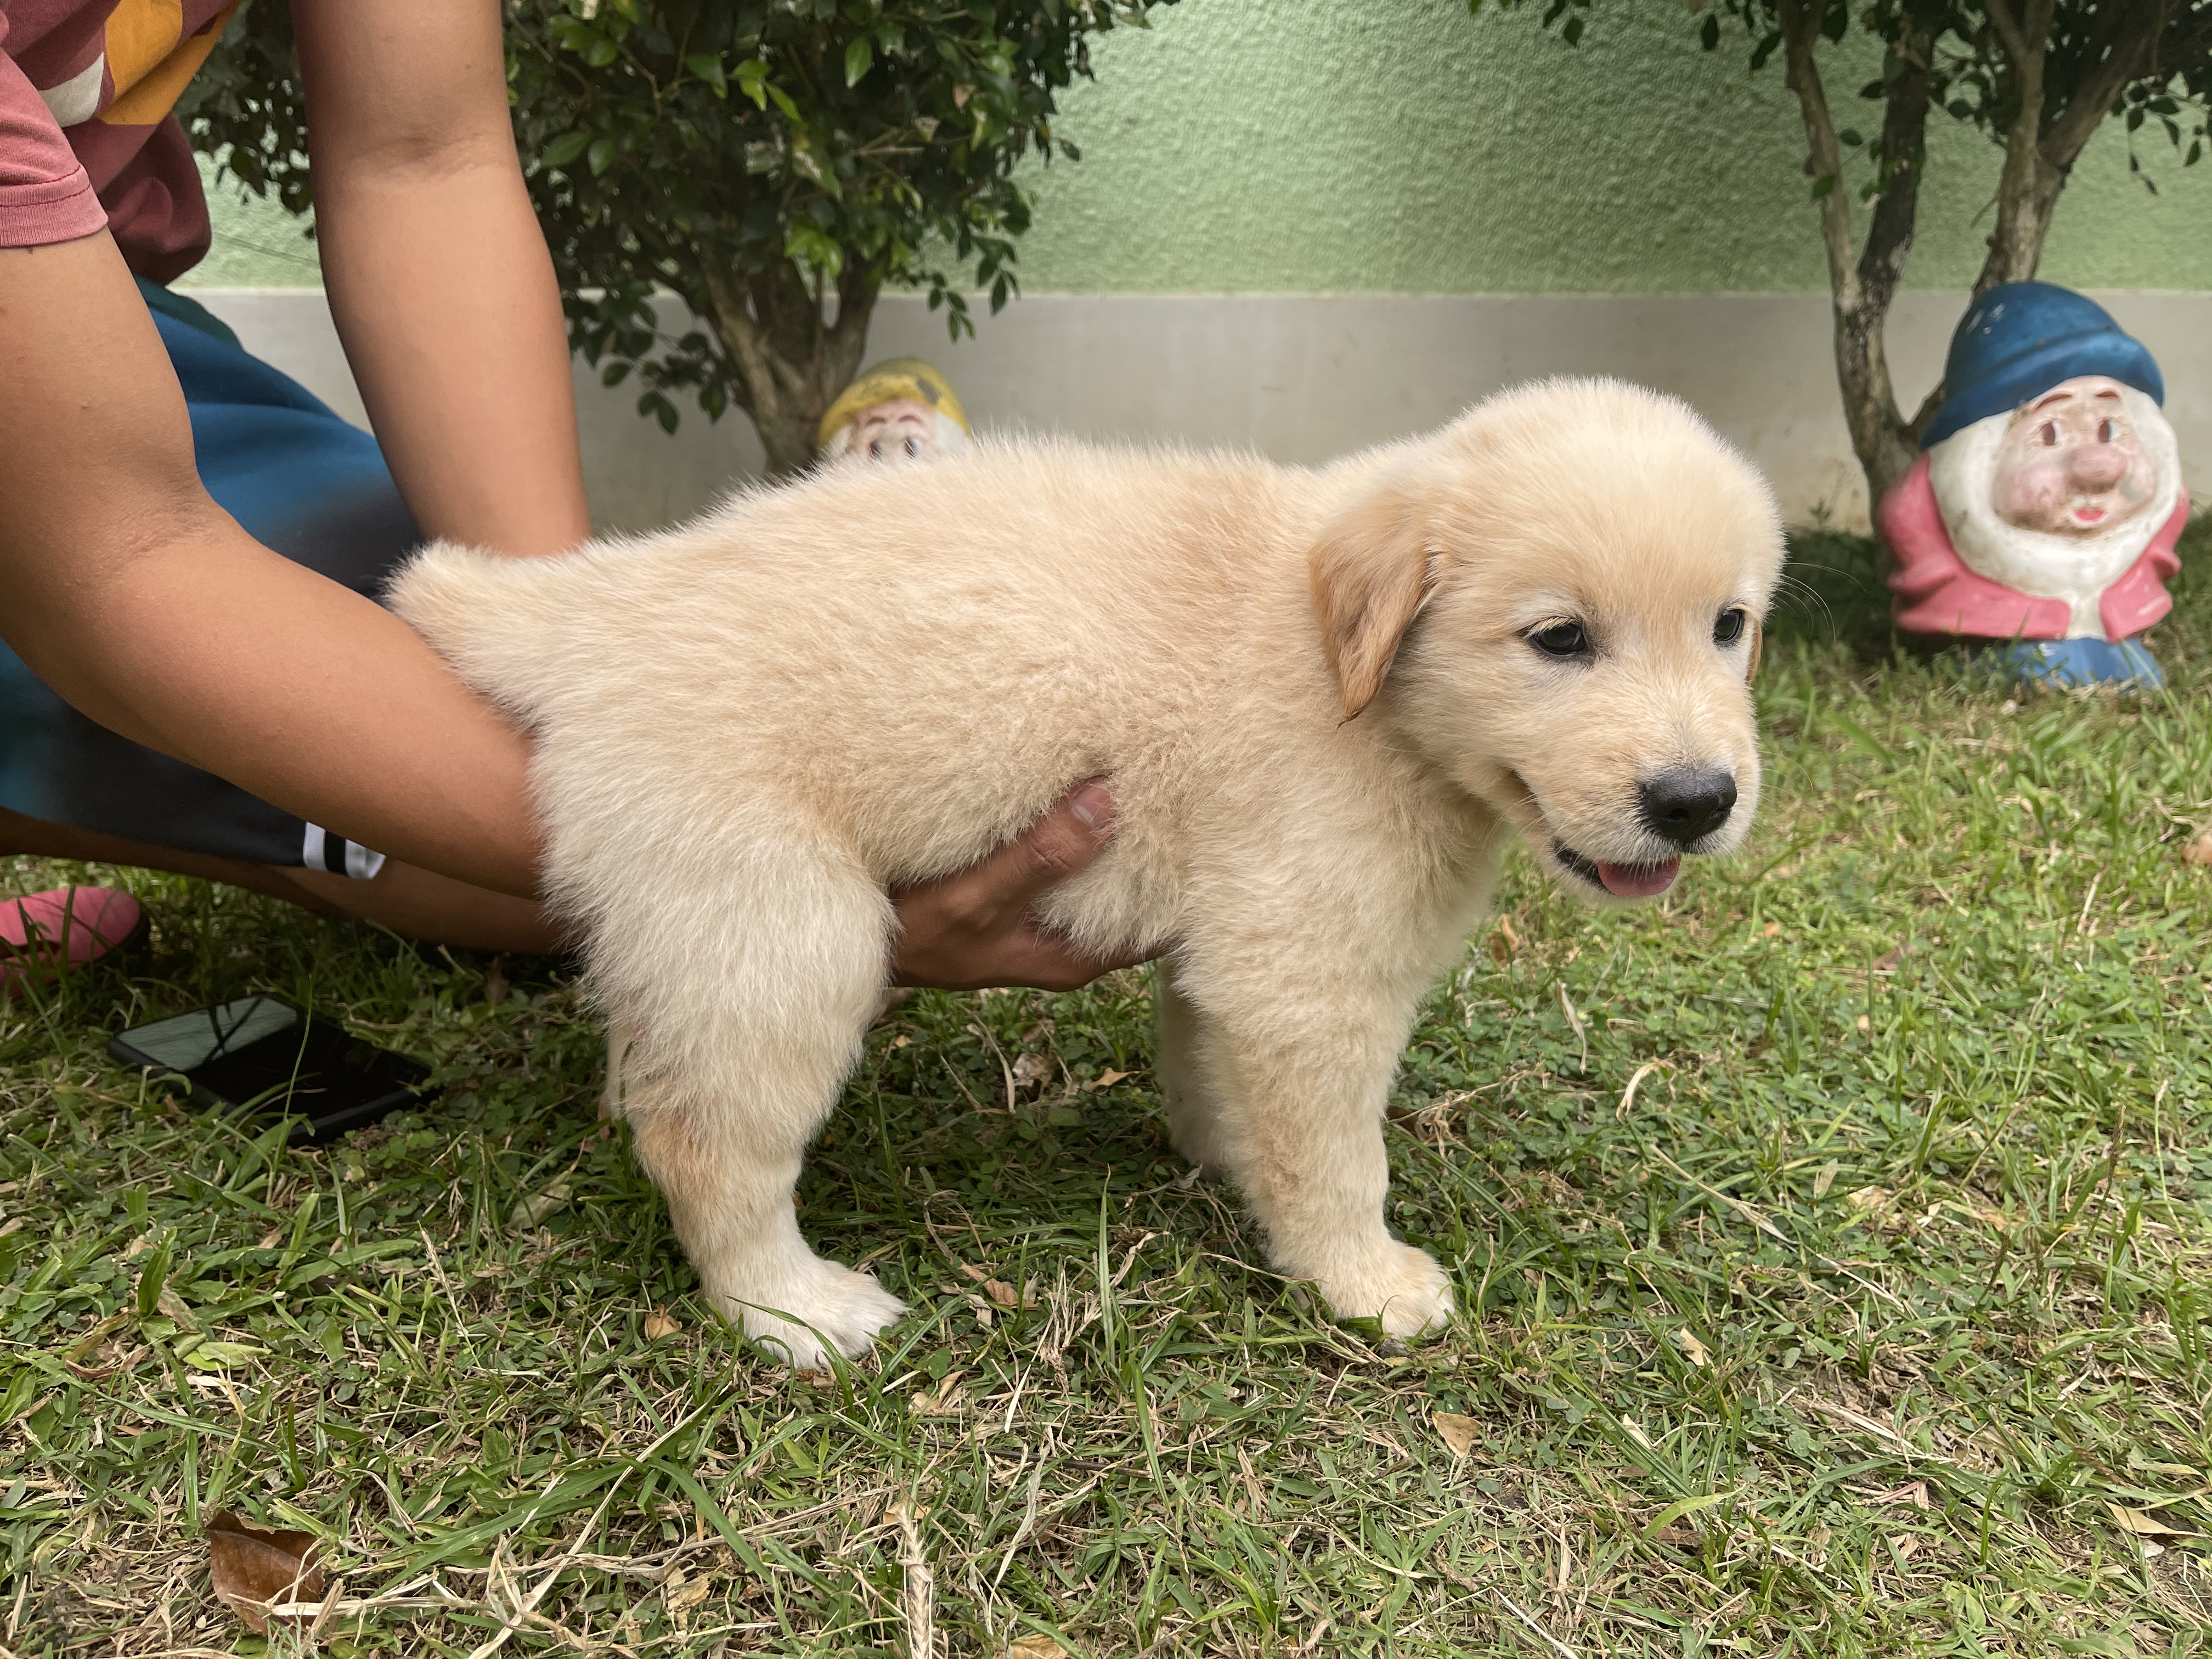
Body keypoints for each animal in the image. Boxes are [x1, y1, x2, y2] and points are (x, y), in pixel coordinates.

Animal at [393, 380, 1778, 1380]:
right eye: (1560, 640)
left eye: (1732, 626)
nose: (1697, 801)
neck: (1355, 679)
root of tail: (603, 603)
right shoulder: (1307, 974)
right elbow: (1340, 1156)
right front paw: (1365, 1281)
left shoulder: (1237, 955)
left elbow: (1221, 1079)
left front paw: (1234, 1172)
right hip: (784, 932)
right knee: (708, 1147)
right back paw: (792, 1311)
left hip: (687, 916)